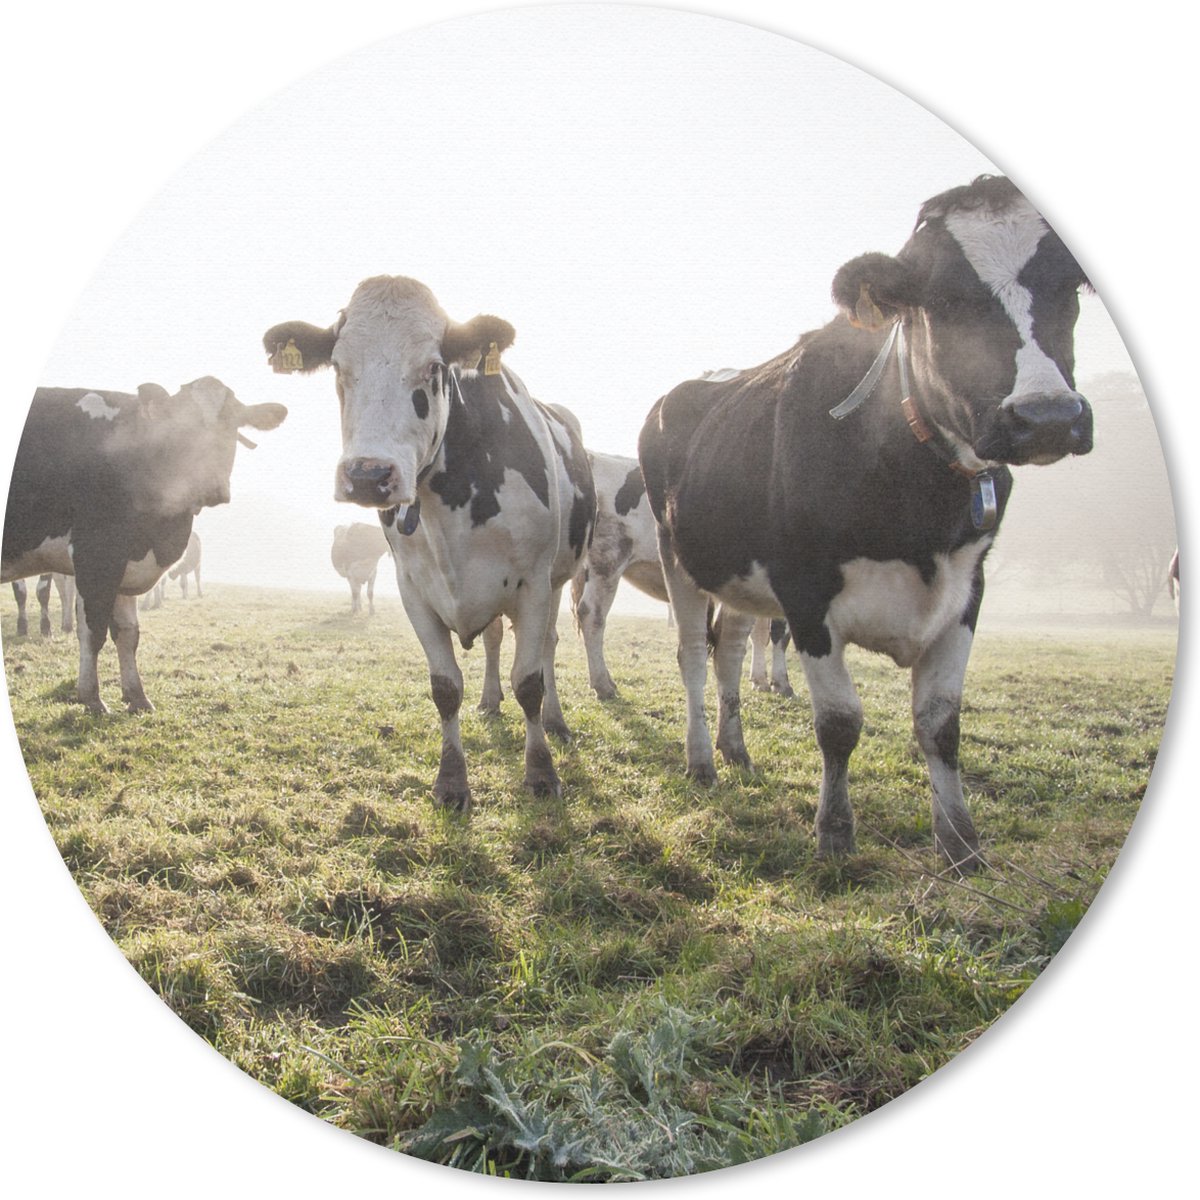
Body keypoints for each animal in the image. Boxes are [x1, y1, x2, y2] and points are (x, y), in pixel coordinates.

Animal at [2, 377, 287, 712]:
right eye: (179, 427)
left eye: (233, 421)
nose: (212, 486)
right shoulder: (96, 553)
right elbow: (93, 630)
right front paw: (92, 698)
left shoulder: (125, 560)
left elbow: (128, 633)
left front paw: (136, 696)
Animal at [263, 275, 596, 808]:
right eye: (338, 366)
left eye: (434, 366)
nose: (368, 475)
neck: (453, 499)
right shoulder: (413, 588)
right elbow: (445, 688)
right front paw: (451, 781)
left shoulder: (533, 583)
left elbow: (529, 682)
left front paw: (541, 772)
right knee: (494, 639)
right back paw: (489, 700)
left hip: (560, 577)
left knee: (546, 648)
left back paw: (556, 722)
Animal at [639, 175, 1093, 872]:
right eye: (943, 299)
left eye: (1068, 288)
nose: (1047, 417)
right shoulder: (804, 591)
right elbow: (839, 723)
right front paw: (834, 833)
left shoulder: (969, 588)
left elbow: (940, 722)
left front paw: (961, 843)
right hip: (680, 558)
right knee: (692, 654)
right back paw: (700, 762)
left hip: (741, 576)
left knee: (729, 652)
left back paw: (735, 750)